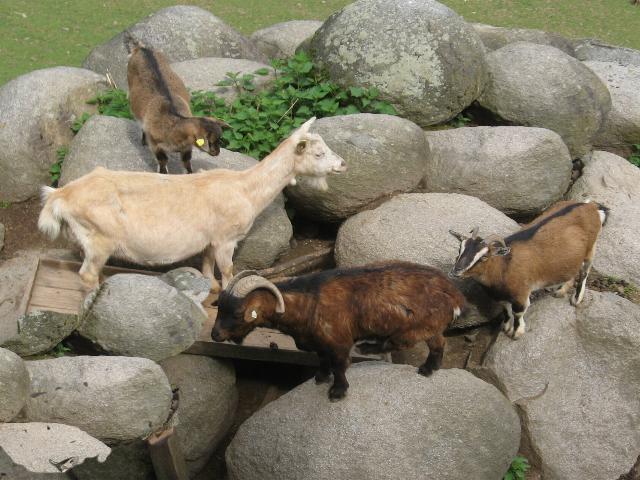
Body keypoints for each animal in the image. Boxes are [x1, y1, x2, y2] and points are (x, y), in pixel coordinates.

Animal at [37, 118, 348, 290]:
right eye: (319, 154)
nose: (343, 164)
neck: (246, 189)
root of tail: (59, 196)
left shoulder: (210, 239)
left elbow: (207, 268)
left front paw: (210, 288)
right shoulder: (226, 238)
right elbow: (228, 271)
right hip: (100, 237)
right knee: (87, 275)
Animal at [125, 36, 228, 174]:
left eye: (219, 138)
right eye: (211, 141)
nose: (217, 153)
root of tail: (140, 48)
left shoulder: (187, 147)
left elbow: (186, 161)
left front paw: (190, 173)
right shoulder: (156, 145)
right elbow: (162, 160)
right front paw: (163, 173)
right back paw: (143, 141)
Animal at [212, 262, 468, 402]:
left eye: (238, 313)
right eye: (219, 306)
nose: (215, 335)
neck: (308, 302)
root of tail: (453, 293)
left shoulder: (339, 341)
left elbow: (339, 365)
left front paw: (337, 392)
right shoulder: (318, 342)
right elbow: (323, 360)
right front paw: (320, 377)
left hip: (418, 327)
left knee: (404, 341)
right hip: (431, 326)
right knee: (438, 343)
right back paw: (429, 368)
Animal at [448, 201, 608, 340]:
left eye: (484, 257)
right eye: (460, 249)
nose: (456, 271)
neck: (504, 266)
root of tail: (591, 206)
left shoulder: (521, 293)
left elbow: (518, 313)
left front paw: (516, 333)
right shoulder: (500, 296)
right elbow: (506, 309)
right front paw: (506, 327)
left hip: (590, 250)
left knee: (584, 272)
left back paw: (576, 299)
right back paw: (561, 291)